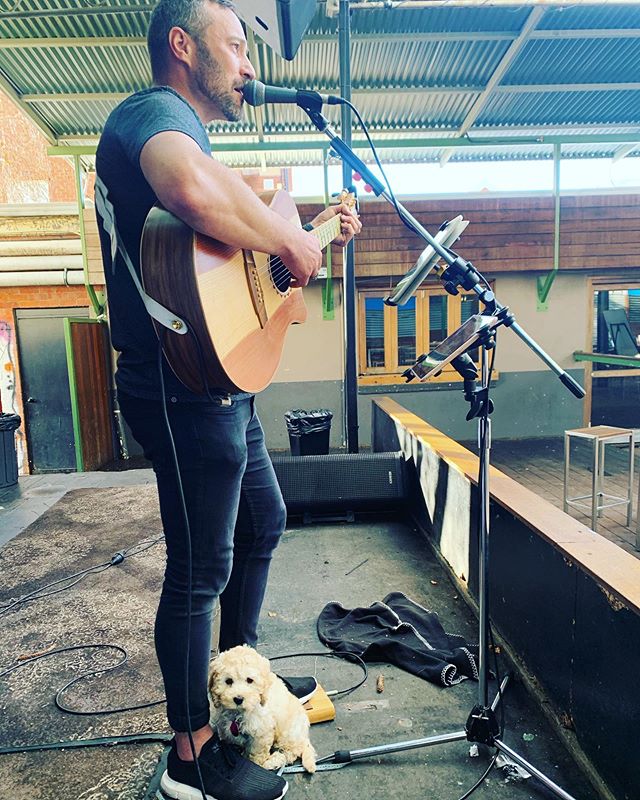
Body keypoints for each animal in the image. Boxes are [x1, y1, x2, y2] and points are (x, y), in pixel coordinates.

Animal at [209, 644, 316, 776]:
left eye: (249, 680)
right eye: (228, 681)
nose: (238, 699)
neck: (239, 713)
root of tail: (303, 735)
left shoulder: (261, 733)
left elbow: (255, 755)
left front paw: (257, 765)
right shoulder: (224, 727)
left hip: (288, 734)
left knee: (290, 753)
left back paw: (274, 761)